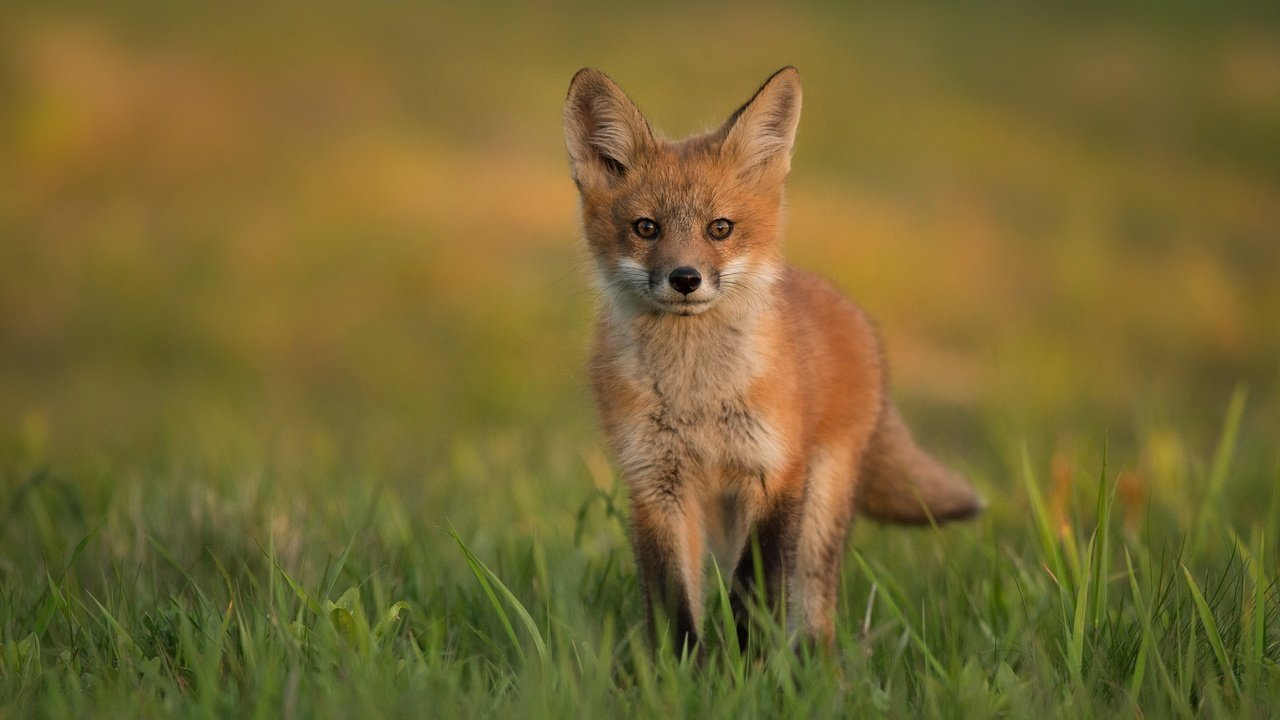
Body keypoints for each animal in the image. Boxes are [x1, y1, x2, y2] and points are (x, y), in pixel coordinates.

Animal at [560, 67, 977, 650]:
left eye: (720, 228)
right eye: (646, 228)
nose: (685, 278)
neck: (698, 395)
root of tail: (854, 314)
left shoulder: (774, 473)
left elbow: (753, 591)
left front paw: (747, 663)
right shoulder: (656, 484)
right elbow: (674, 602)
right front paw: (683, 668)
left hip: (819, 504)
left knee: (813, 603)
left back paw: (813, 661)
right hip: (718, 515)